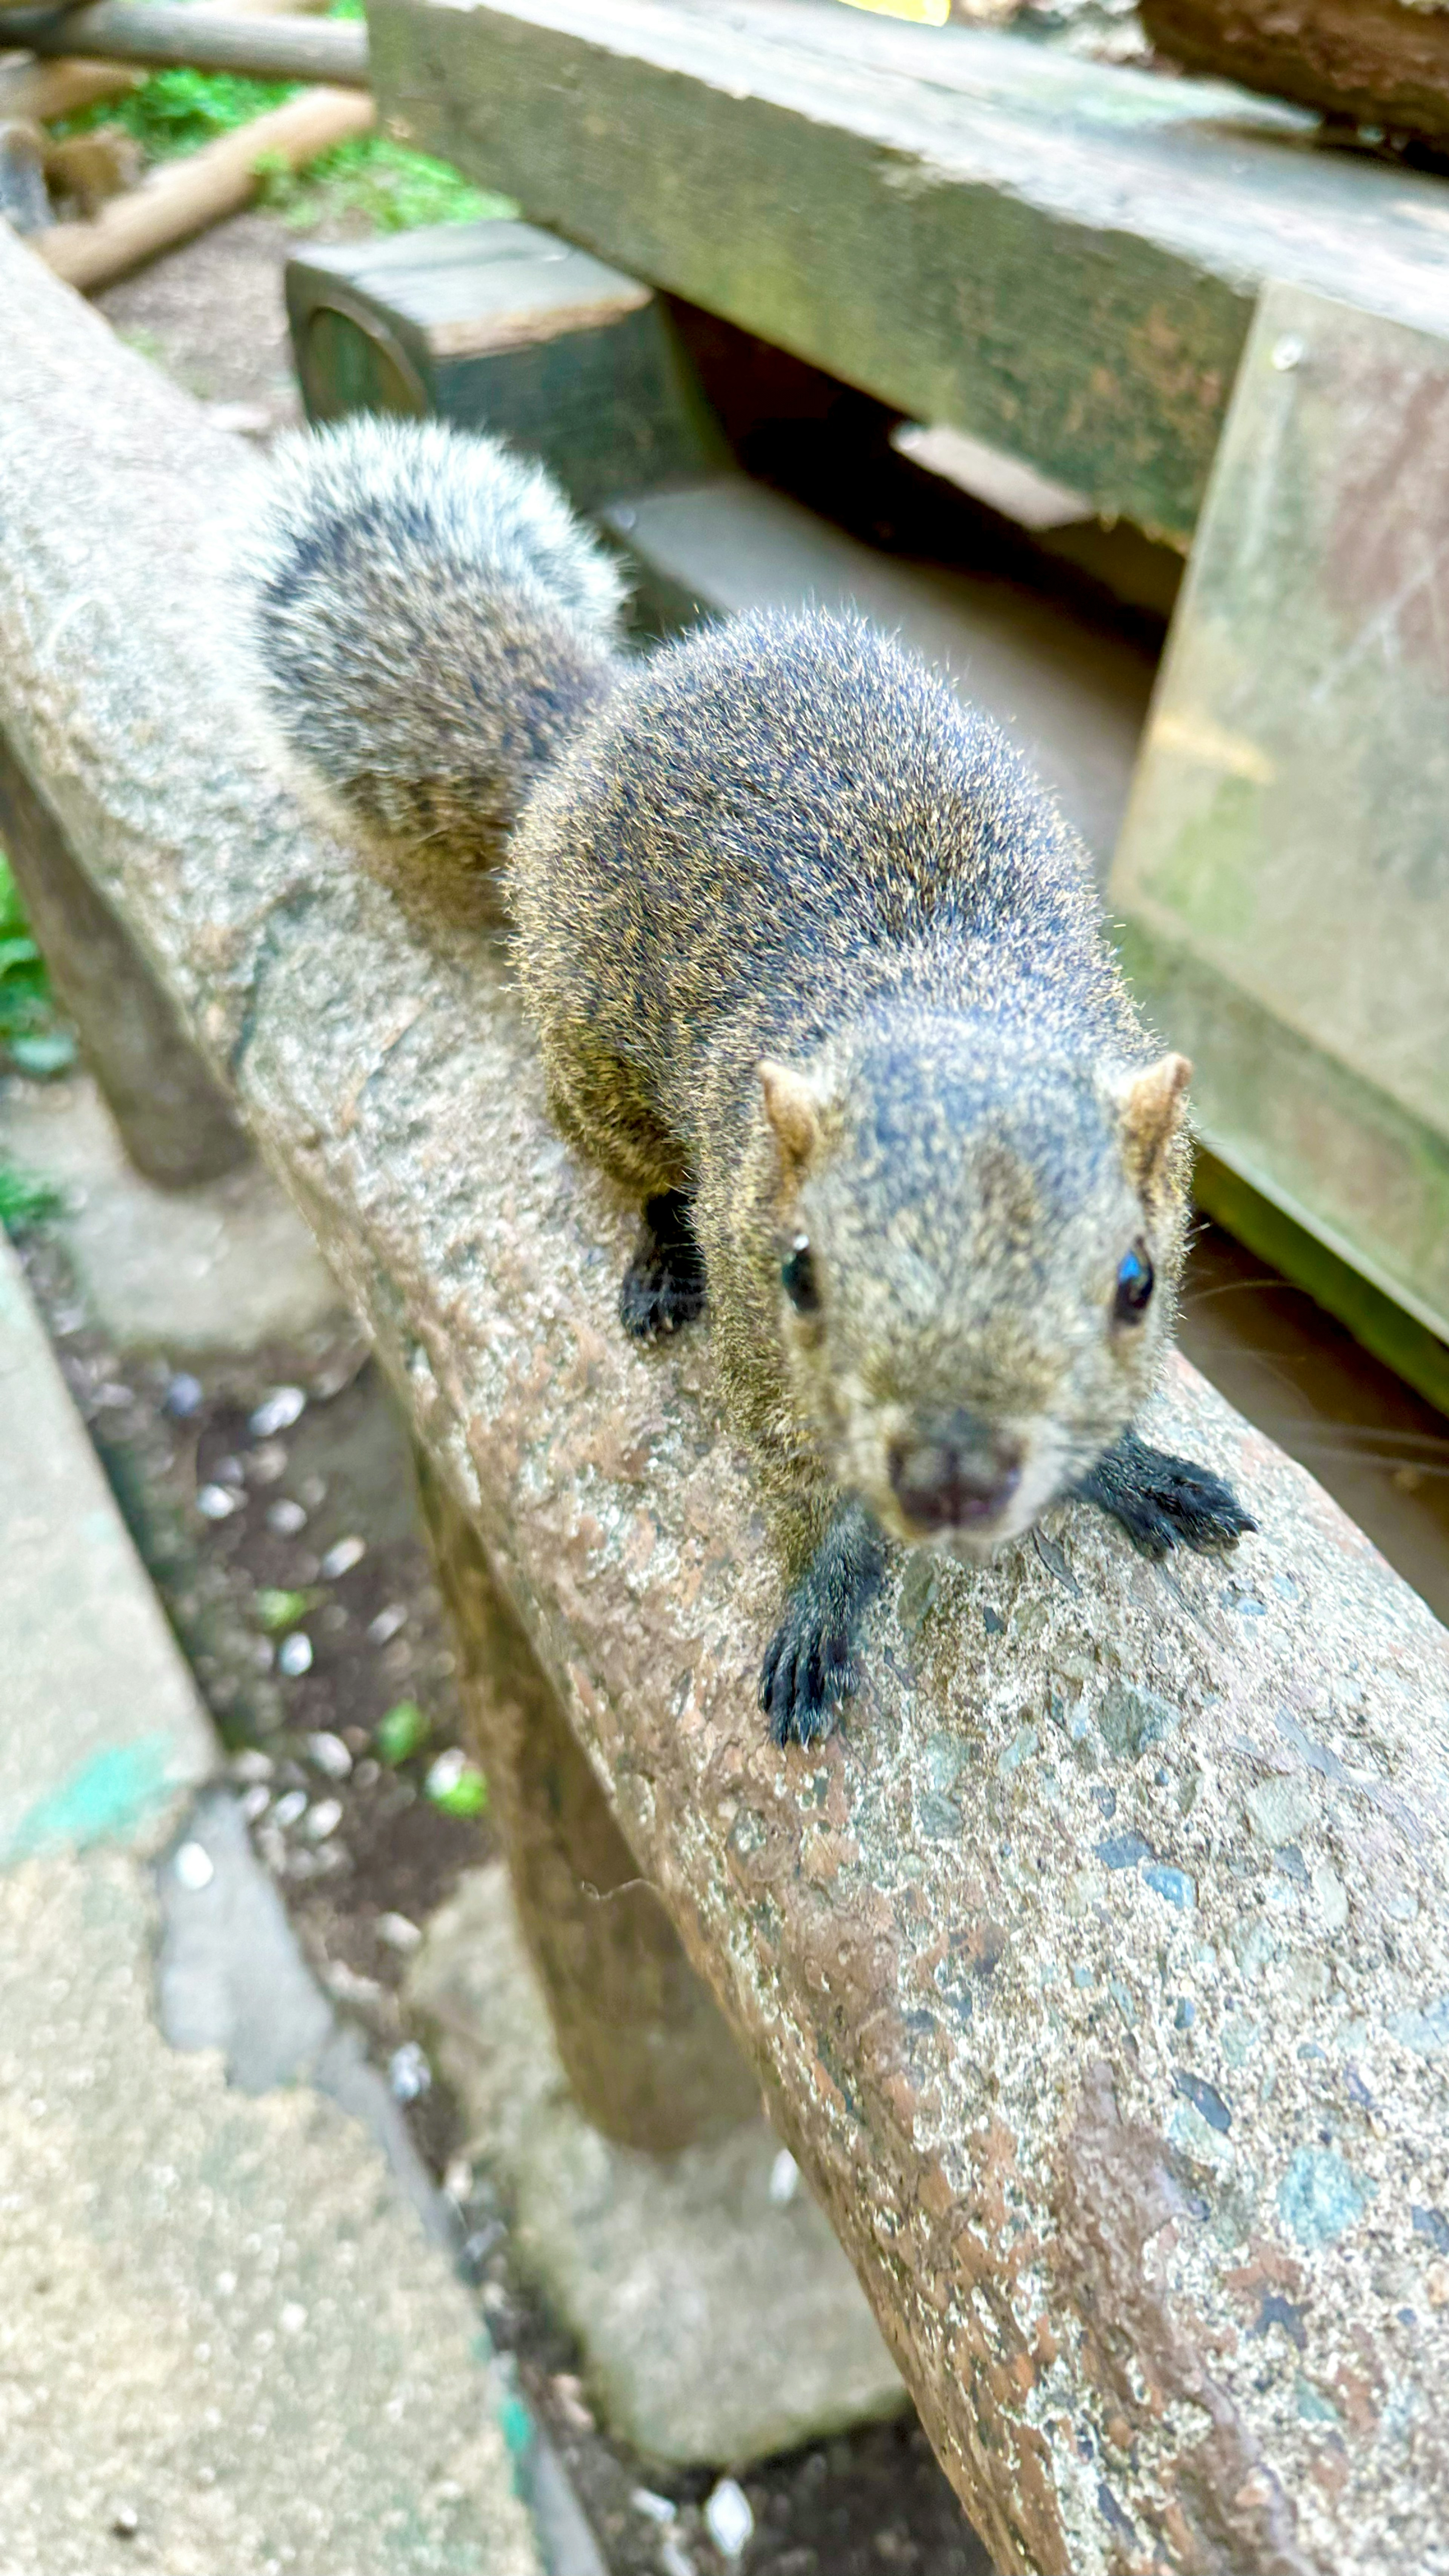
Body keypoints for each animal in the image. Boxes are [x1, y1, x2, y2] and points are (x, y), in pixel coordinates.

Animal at [240, 417, 1253, 1752]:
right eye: (800, 1275)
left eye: (1137, 1283)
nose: (953, 1481)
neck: (940, 996)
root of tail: (592, 723)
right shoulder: (757, 1332)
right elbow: (794, 1483)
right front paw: (825, 1593)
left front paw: (1131, 1467)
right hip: (592, 1070)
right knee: (621, 1162)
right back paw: (656, 1260)